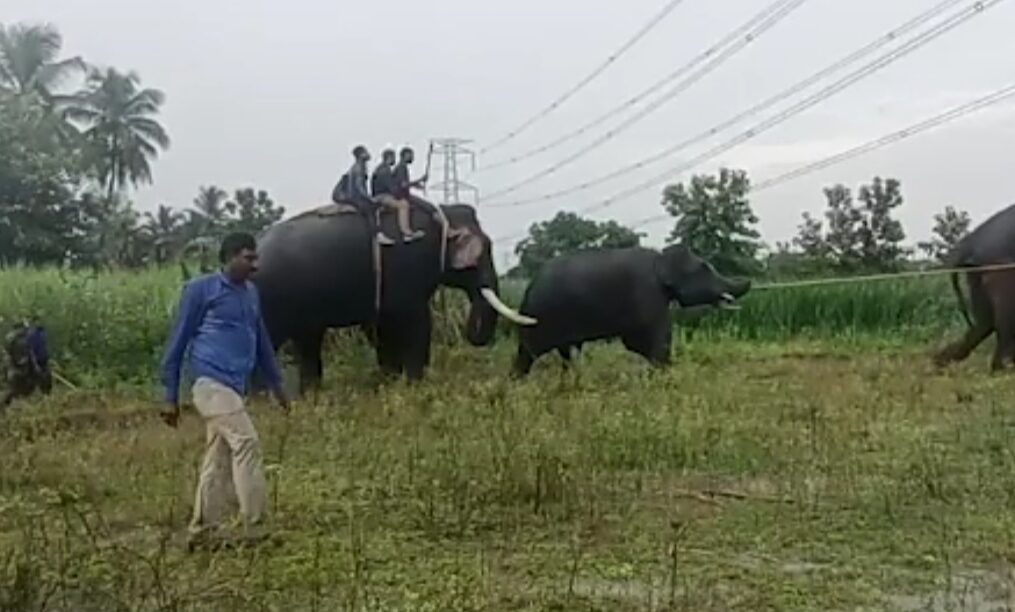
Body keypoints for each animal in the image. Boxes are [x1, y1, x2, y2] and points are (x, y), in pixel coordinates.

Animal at [251, 200, 539, 391]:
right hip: (271, 300)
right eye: (486, 249)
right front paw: (414, 386)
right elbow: (415, 324)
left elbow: (382, 329)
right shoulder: (407, 269)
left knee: (308, 342)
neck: (442, 212)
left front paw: (390, 382)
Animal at [511, 241, 751, 375]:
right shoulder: (647, 295)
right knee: (529, 353)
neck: (660, 258)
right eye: (705, 268)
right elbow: (646, 340)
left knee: (567, 354)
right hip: (541, 317)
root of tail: (530, 286)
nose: (749, 280)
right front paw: (663, 375)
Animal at [929, 204, 1015, 371]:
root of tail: (969, 242)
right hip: (997, 269)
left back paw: (937, 361)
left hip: (976, 276)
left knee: (983, 323)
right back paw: (1003, 367)